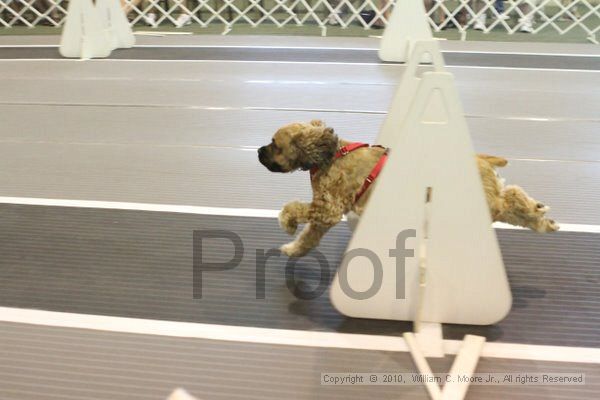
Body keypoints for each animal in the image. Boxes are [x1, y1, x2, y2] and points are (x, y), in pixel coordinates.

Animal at [256, 119, 556, 256]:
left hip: (482, 202)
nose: (259, 151)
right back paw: (542, 217)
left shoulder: (327, 208)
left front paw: (287, 222)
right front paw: (293, 249)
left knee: (507, 202)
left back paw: (540, 215)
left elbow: (293, 208)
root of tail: (481, 158)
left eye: (275, 143)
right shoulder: (323, 215)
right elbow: (309, 238)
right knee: (513, 197)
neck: (329, 155)